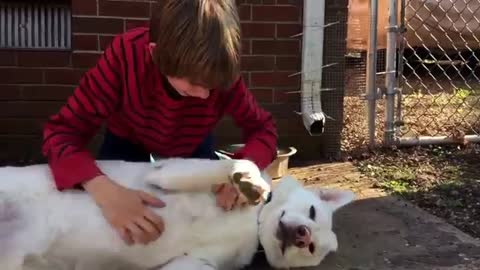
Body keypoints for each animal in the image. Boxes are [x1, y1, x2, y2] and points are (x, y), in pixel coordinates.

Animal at [0, 158, 352, 270]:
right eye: (312, 211)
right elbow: (241, 165)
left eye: (310, 249)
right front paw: (250, 184)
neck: (252, 227)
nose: (302, 234)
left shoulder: (194, 263)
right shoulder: (167, 170)